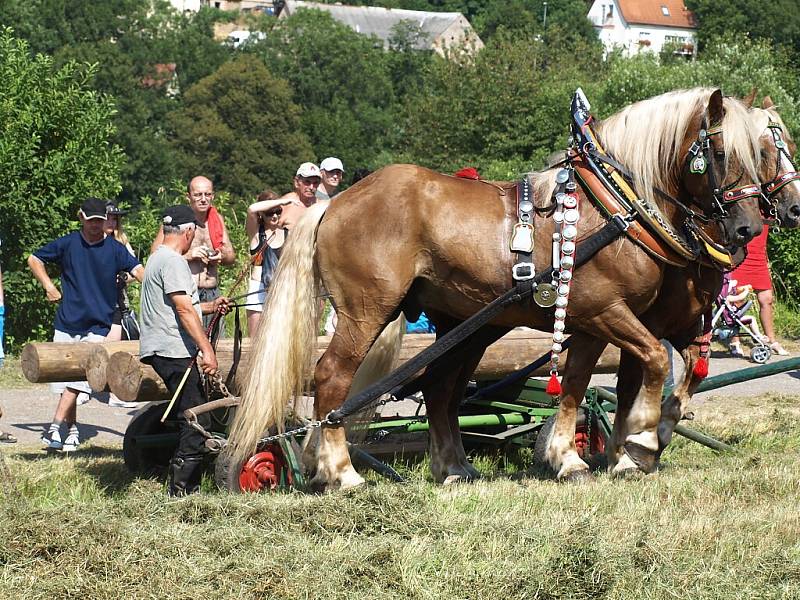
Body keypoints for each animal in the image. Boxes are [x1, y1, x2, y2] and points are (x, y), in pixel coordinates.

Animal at [230, 90, 764, 492]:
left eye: (759, 156)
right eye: (719, 154)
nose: (748, 227)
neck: (616, 207)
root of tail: (335, 203)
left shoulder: (597, 322)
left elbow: (587, 382)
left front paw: (581, 454)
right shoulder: (605, 310)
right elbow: (651, 361)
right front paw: (641, 443)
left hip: (467, 326)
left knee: (439, 386)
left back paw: (452, 467)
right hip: (367, 312)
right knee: (333, 378)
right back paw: (340, 472)